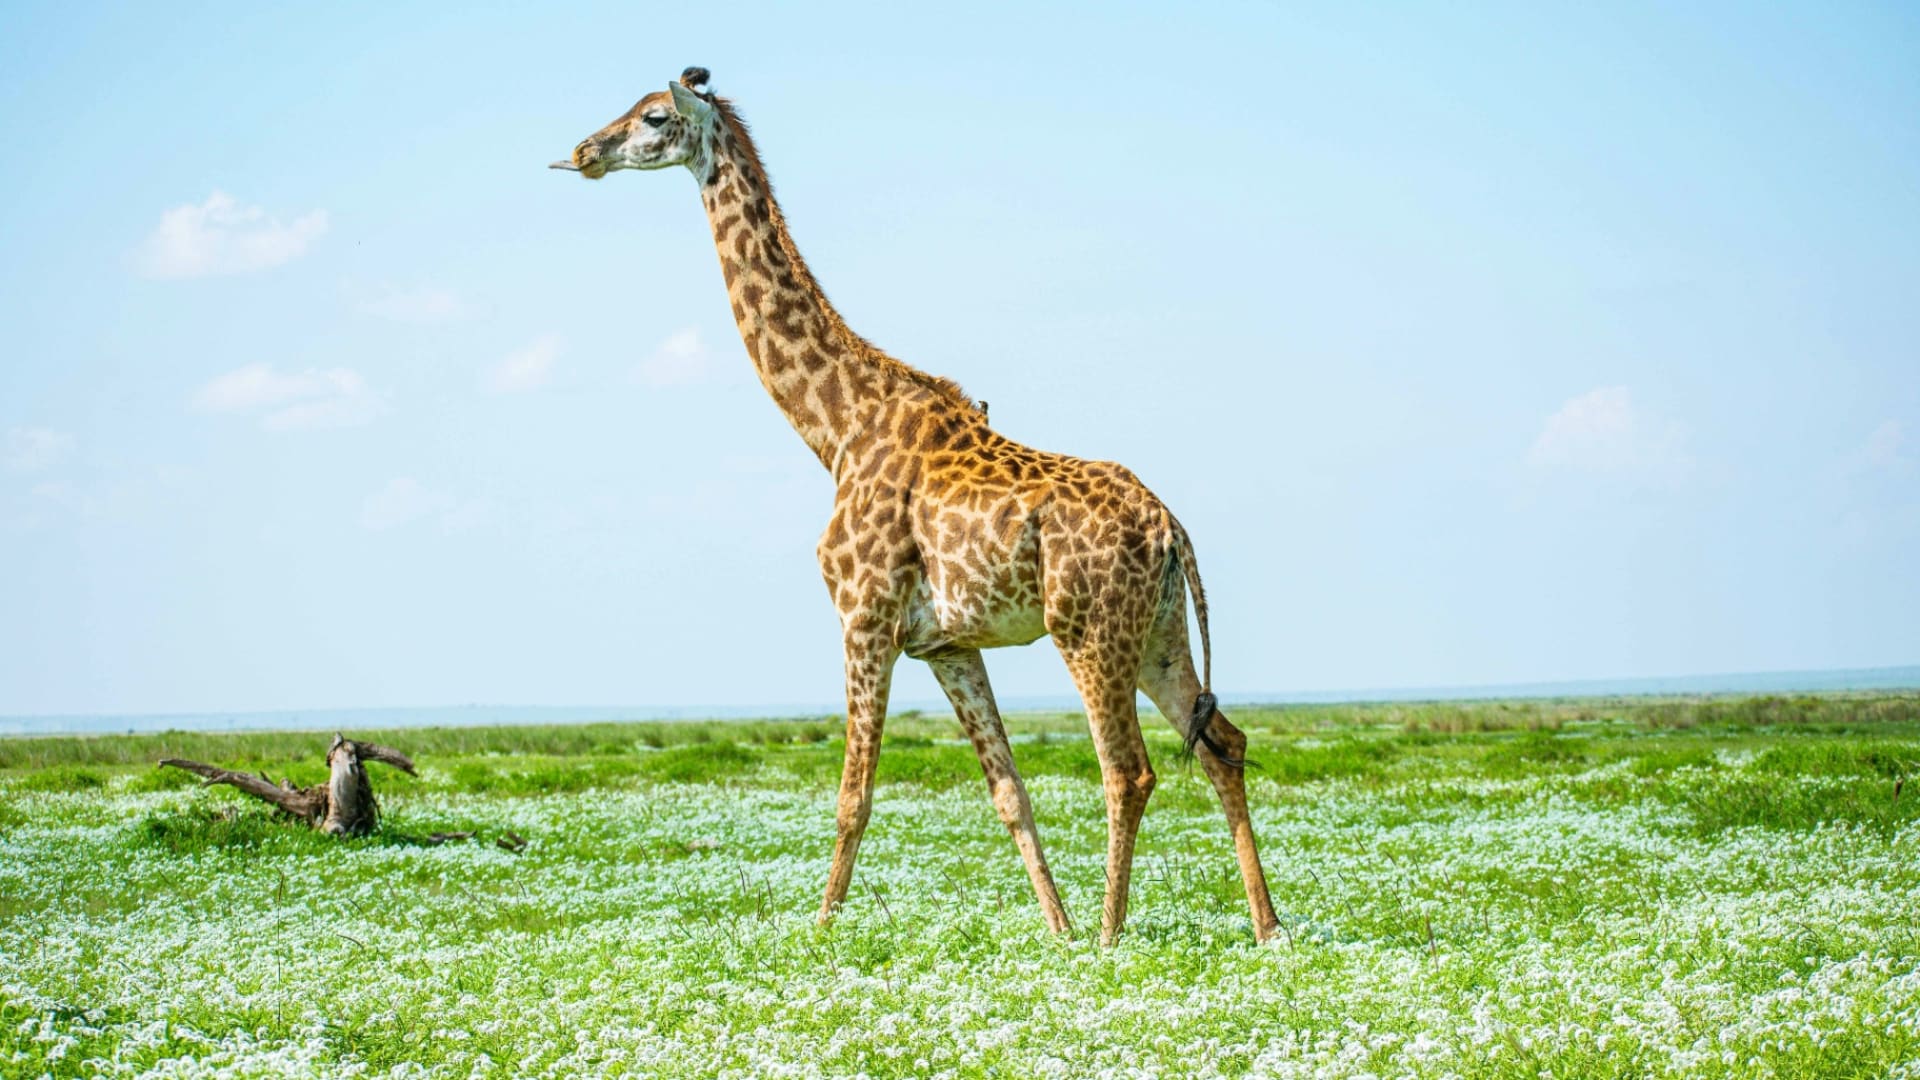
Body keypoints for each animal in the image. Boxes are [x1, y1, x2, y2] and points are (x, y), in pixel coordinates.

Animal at [553, 68, 1282, 945]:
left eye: (655, 117)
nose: (583, 151)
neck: (834, 428)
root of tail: (1172, 529)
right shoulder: (946, 645)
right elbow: (1009, 794)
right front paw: (1058, 930)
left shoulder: (862, 616)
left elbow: (852, 796)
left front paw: (821, 931)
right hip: (1159, 633)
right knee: (1222, 743)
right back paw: (1267, 928)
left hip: (1088, 630)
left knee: (1128, 770)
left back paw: (1115, 938)